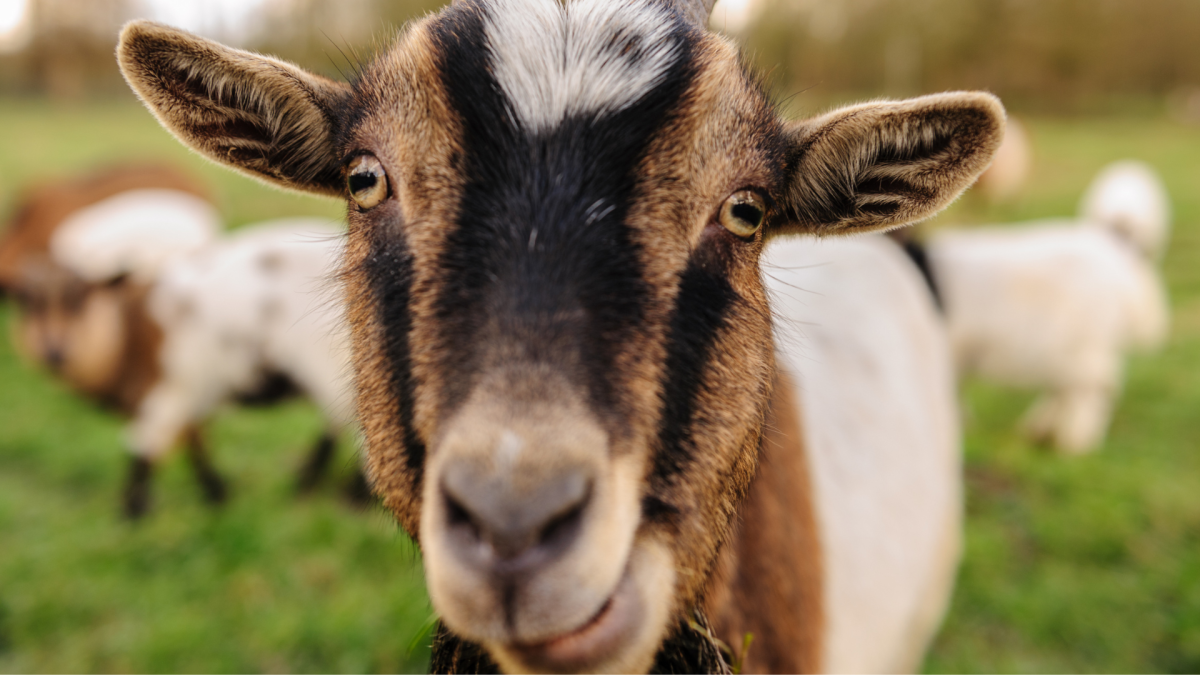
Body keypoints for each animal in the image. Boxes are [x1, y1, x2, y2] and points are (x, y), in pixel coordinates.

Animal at [921, 158, 1166, 451]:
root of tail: (1114, 246)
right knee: (1068, 387)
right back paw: (1041, 431)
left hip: (1085, 342)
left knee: (1092, 389)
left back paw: (1073, 443)